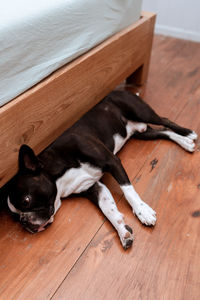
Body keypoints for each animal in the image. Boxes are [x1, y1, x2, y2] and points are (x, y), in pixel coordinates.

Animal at [6, 90, 197, 250]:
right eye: (15, 216)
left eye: (26, 201)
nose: (24, 222)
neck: (60, 177)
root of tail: (122, 89)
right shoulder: (94, 187)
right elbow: (109, 209)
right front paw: (123, 231)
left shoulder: (112, 161)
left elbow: (128, 191)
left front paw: (142, 211)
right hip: (143, 133)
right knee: (163, 132)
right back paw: (185, 143)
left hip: (140, 111)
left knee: (165, 120)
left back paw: (188, 133)